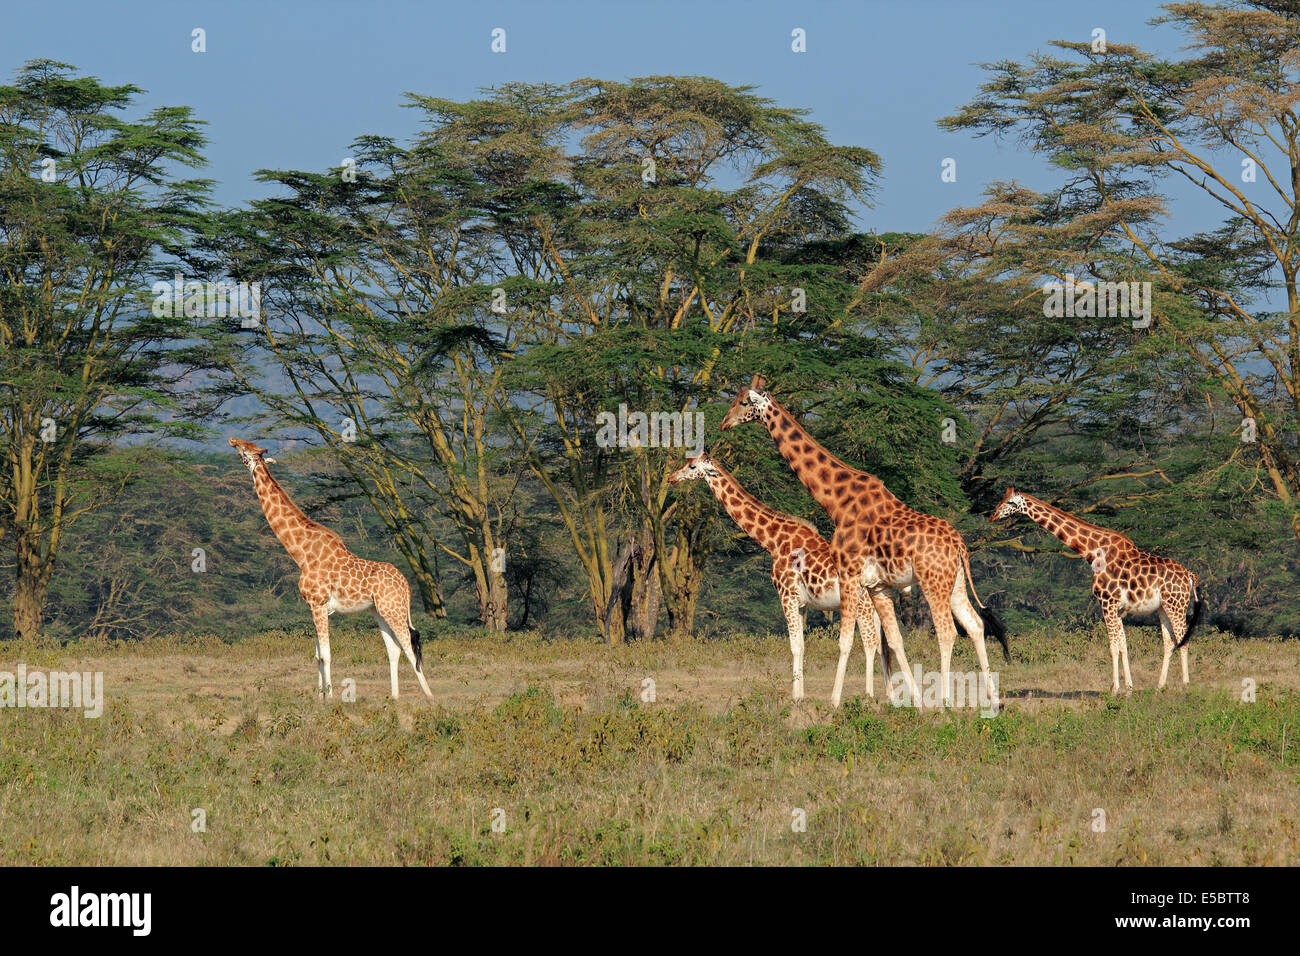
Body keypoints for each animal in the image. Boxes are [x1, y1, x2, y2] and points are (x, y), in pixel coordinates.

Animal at [230, 437, 436, 697]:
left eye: (245, 450)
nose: (232, 440)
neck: (301, 552)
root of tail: (406, 585)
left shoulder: (318, 603)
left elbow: (326, 655)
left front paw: (328, 696)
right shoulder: (313, 606)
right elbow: (318, 655)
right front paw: (319, 696)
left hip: (393, 609)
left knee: (410, 646)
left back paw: (430, 697)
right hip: (379, 611)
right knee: (394, 649)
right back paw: (395, 697)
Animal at [665, 452, 899, 707]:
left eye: (692, 466)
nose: (671, 478)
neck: (773, 540)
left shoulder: (786, 594)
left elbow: (794, 645)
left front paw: (795, 698)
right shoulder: (801, 602)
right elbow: (802, 646)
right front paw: (801, 695)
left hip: (861, 603)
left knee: (870, 642)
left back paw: (867, 696)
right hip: (874, 604)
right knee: (882, 645)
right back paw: (888, 696)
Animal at [717, 377, 1008, 707]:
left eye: (743, 402)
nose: (724, 423)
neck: (837, 502)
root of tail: (959, 545)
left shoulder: (848, 574)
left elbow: (845, 642)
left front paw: (834, 703)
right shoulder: (877, 585)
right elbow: (893, 640)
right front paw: (912, 702)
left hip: (932, 582)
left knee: (947, 632)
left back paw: (945, 703)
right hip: (954, 583)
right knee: (975, 625)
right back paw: (992, 699)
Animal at [987, 489, 1201, 691]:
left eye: (1010, 502)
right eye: (1000, 499)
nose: (992, 516)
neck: (1092, 552)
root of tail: (1190, 576)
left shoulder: (1106, 602)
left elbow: (1113, 647)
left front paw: (1114, 689)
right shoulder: (1117, 607)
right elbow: (1122, 644)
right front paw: (1129, 688)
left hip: (1176, 606)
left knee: (1183, 640)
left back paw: (1185, 686)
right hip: (1163, 607)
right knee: (1170, 642)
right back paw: (1160, 686)